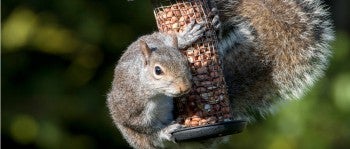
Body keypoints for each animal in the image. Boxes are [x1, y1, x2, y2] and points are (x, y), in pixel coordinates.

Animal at [106, 0, 334, 148]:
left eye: (186, 62)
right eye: (157, 71)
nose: (184, 88)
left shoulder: (155, 40)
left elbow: (165, 38)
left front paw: (185, 37)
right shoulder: (130, 107)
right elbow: (144, 127)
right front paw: (165, 130)